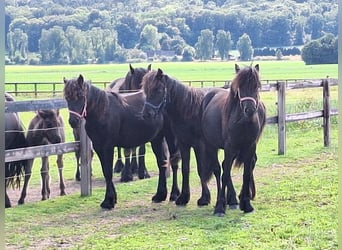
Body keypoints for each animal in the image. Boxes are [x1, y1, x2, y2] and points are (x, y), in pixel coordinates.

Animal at [63, 74, 176, 209]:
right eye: (67, 97)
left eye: (80, 96)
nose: (73, 121)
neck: (103, 111)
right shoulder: (98, 147)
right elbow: (105, 171)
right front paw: (112, 199)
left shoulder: (107, 147)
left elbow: (108, 172)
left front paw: (108, 201)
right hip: (157, 139)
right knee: (161, 163)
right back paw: (160, 195)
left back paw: (175, 195)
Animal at [202, 64, 266, 215]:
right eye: (239, 87)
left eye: (256, 86)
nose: (250, 110)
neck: (243, 121)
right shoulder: (229, 147)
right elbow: (224, 174)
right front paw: (220, 207)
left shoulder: (250, 147)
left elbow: (246, 173)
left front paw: (246, 204)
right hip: (211, 146)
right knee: (218, 170)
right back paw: (223, 202)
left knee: (225, 167)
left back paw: (232, 201)